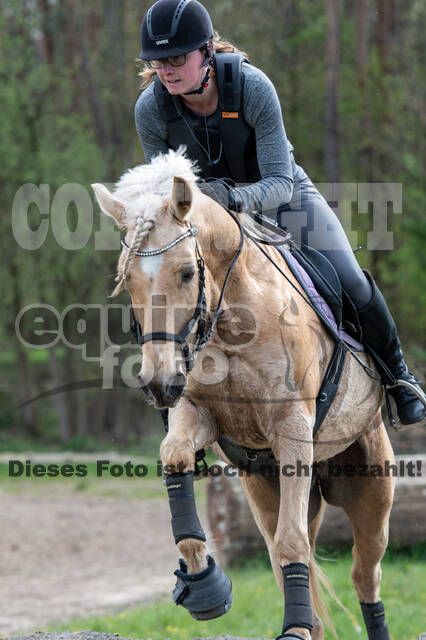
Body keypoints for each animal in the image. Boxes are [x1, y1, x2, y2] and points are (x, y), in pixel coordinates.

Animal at [91, 150, 394, 640]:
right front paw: (203, 583)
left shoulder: (292, 429)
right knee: (290, 556)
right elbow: (175, 456)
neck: (232, 323)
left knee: (364, 575)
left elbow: (293, 544)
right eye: (127, 279)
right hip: (265, 488)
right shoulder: (197, 412)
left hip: (371, 489)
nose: (159, 382)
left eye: (187, 272)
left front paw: (291, 629)